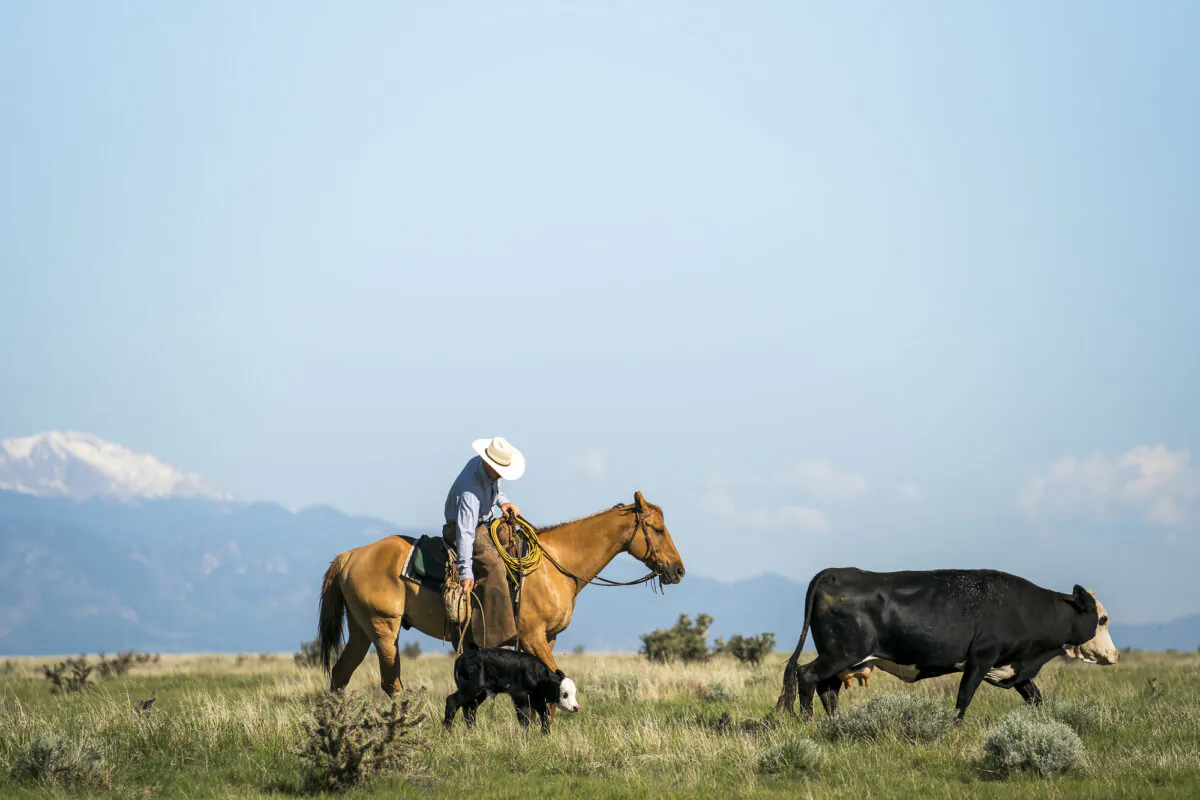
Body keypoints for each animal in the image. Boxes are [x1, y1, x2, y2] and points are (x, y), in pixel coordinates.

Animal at [444, 647, 580, 734]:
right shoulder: (520, 698)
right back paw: (447, 731)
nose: (576, 707)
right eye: (565, 694)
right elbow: (524, 719)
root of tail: (462, 657)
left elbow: (545, 715)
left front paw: (545, 734)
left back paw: (473, 731)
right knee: (452, 701)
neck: (538, 676)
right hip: (470, 688)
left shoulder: (538, 699)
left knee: (470, 709)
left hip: (479, 694)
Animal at [775, 568, 1119, 720]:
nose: (1114, 654)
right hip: (840, 653)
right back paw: (808, 722)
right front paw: (954, 728)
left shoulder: (1013, 665)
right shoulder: (980, 658)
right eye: (1102, 619)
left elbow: (1035, 698)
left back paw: (834, 724)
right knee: (807, 676)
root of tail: (836, 572)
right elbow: (963, 699)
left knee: (827, 688)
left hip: (845, 659)